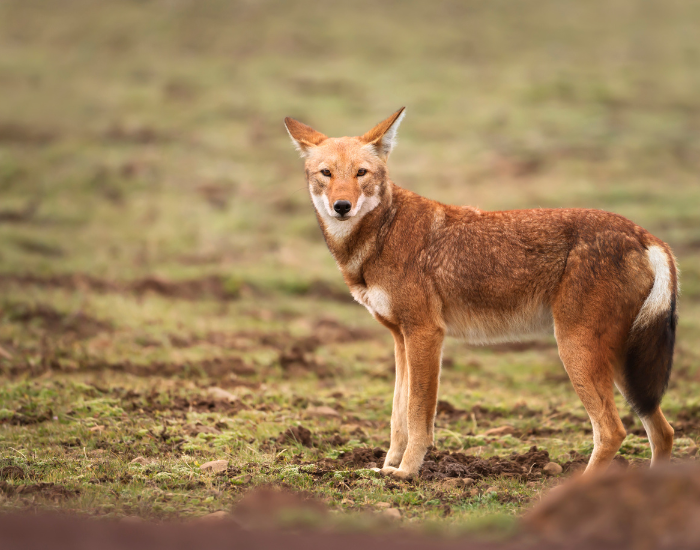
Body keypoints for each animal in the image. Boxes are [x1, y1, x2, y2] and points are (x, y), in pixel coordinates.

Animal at [284, 108, 678, 479]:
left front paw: (407, 473)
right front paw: (386, 468)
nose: (342, 207)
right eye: (326, 173)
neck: (381, 232)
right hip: (624, 368)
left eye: (361, 173)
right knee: (664, 431)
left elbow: (417, 415)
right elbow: (397, 416)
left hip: (578, 351)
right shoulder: (400, 338)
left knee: (613, 431)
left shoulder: (426, 334)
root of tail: (644, 235)